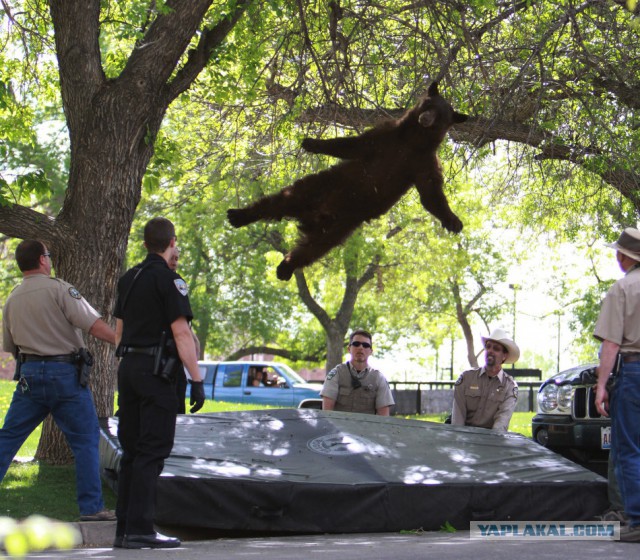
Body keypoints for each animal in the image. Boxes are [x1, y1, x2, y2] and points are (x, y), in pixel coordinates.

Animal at [228, 81, 468, 282]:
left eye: (440, 115)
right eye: (429, 104)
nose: (425, 117)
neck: (413, 140)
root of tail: (313, 217)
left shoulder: (423, 162)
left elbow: (431, 193)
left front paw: (453, 221)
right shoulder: (386, 136)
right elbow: (352, 144)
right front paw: (312, 143)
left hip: (341, 226)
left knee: (312, 249)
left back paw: (285, 267)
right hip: (319, 187)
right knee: (278, 201)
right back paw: (239, 215)